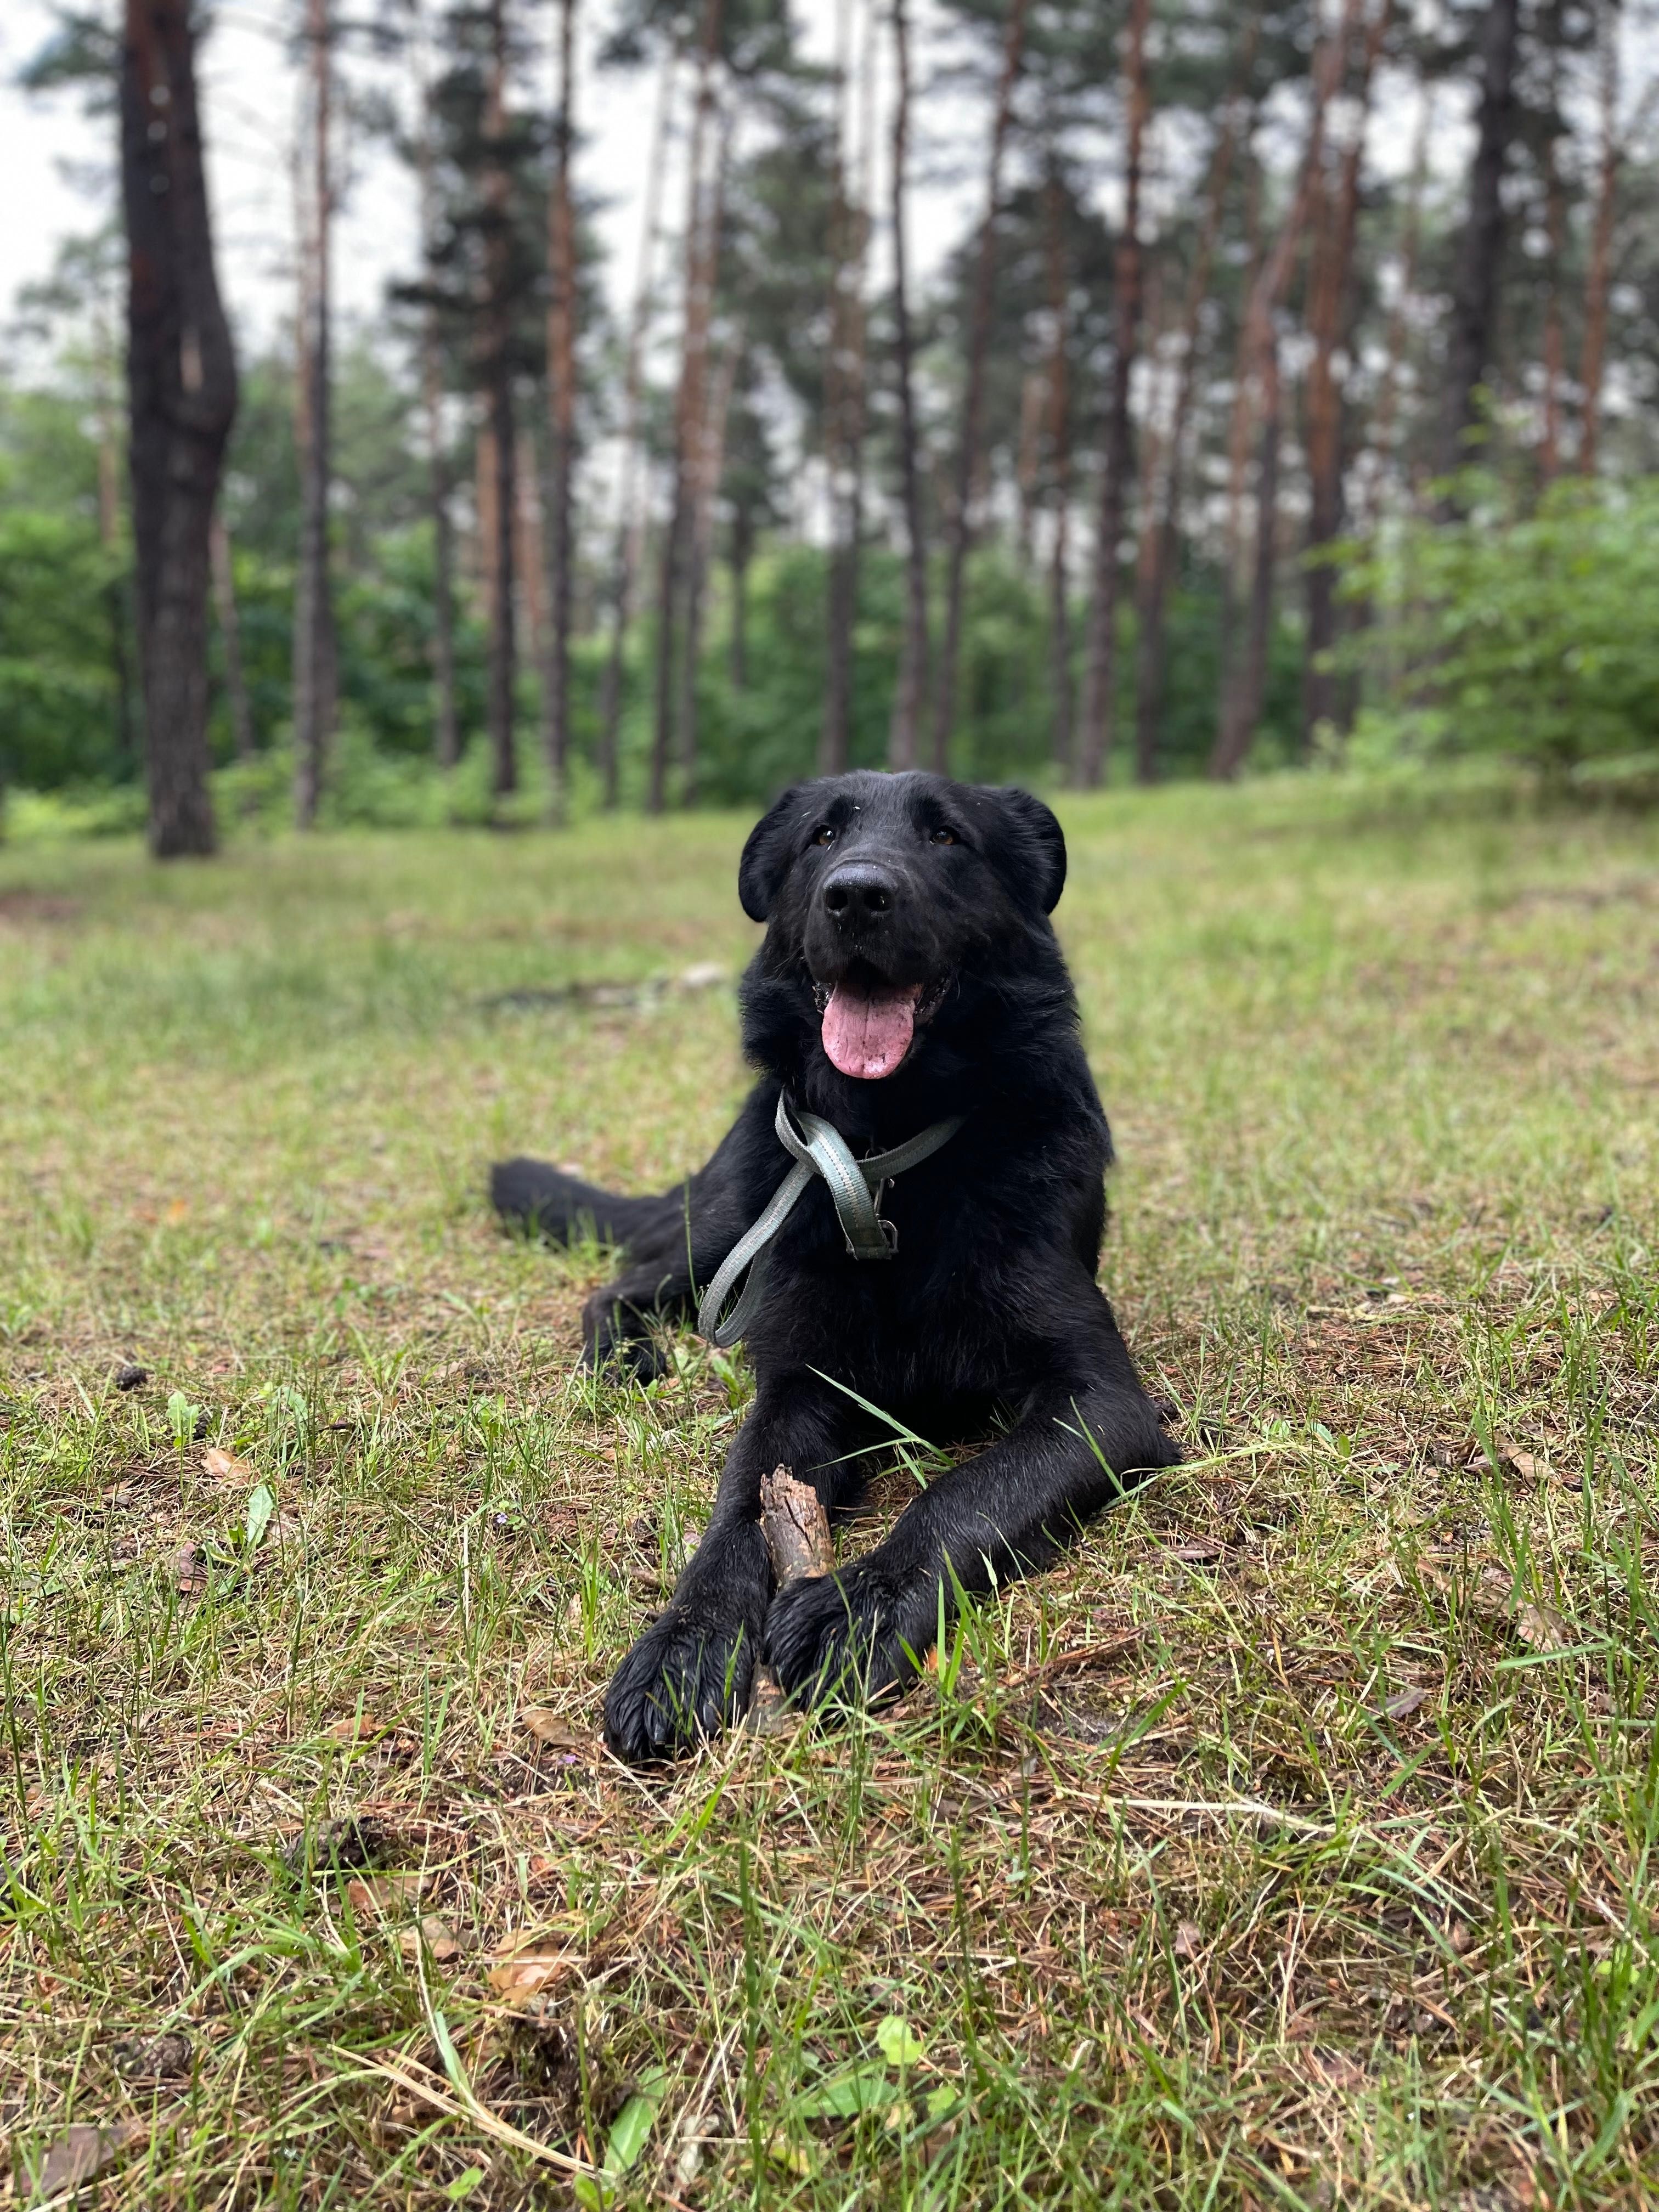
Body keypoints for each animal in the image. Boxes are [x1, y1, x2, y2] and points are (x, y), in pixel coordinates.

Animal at [493, 778, 1186, 1760]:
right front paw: (686, 1641)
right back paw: (625, 1357)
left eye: (948, 837)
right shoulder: (797, 1389)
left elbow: (966, 1494)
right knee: (623, 1282)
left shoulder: (1100, 1404)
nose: (857, 895)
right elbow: (741, 1510)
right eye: (822, 837)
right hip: (728, 1230)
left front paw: (862, 1608)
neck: (887, 1158)